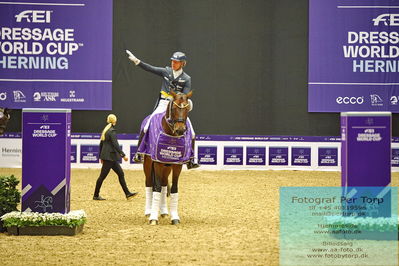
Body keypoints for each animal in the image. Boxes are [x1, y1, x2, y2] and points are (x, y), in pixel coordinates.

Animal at [138, 90, 193, 225]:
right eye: (173, 108)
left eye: (187, 108)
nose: (180, 129)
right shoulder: (157, 162)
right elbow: (156, 188)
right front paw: (153, 218)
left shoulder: (177, 165)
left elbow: (173, 188)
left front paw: (175, 217)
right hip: (148, 164)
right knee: (149, 183)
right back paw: (148, 212)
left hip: (167, 167)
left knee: (163, 185)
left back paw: (163, 211)